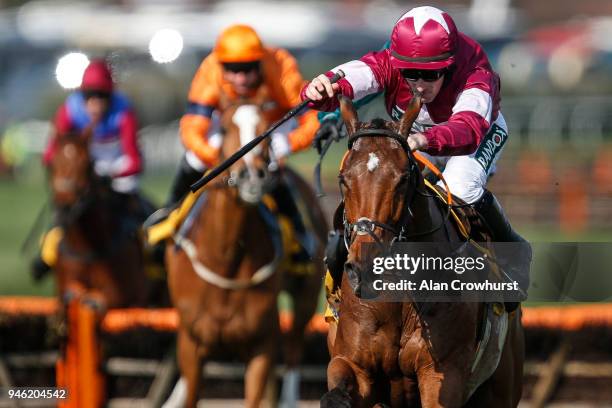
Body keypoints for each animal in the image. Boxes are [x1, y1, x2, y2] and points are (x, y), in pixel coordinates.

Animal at [48, 132, 151, 308]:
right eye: (53, 162)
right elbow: (70, 294)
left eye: (86, 163)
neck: (86, 247)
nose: (64, 206)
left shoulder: (125, 295)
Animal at [163, 87, 326, 408]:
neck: (225, 256)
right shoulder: (191, 342)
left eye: (266, 132)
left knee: (295, 346)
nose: (252, 176)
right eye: (225, 128)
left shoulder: (261, 344)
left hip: (306, 297)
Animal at [320, 95, 524, 404]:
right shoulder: (353, 364)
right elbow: (337, 392)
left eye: (403, 179)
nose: (364, 269)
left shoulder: (442, 374)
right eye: (343, 178)